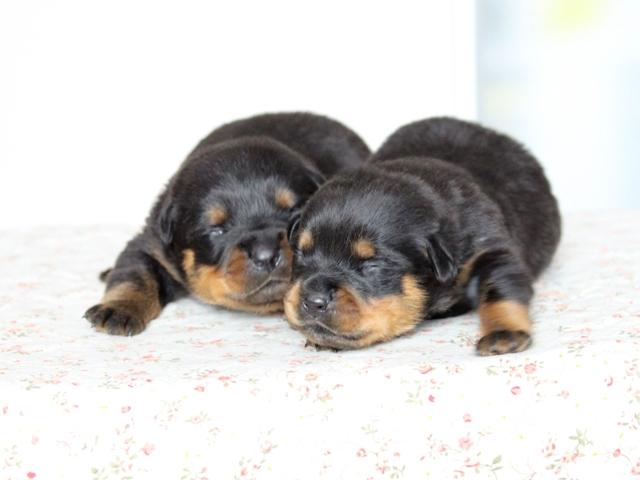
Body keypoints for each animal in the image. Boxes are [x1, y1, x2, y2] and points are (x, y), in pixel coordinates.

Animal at [85, 112, 370, 335]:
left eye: (292, 212)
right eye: (217, 230)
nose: (266, 255)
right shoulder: (152, 243)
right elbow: (134, 273)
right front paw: (118, 309)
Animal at [284, 117, 561, 355]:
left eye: (372, 265)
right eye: (301, 254)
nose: (313, 301)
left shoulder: (490, 248)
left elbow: (500, 287)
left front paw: (503, 332)